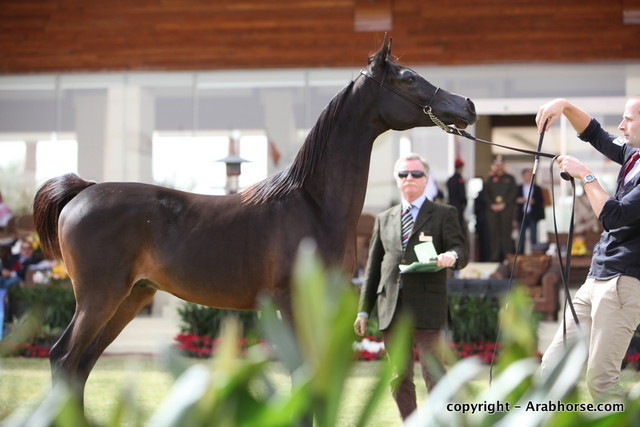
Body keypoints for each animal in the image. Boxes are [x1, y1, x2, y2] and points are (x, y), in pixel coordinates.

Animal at [33, 35, 477, 402]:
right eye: (408, 77)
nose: (467, 105)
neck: (312, 204)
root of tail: (83, 190)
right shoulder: (290, 301)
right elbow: (302, 376)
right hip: (100, 297)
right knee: (64, 358)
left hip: (130, 297)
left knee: (81, 365)